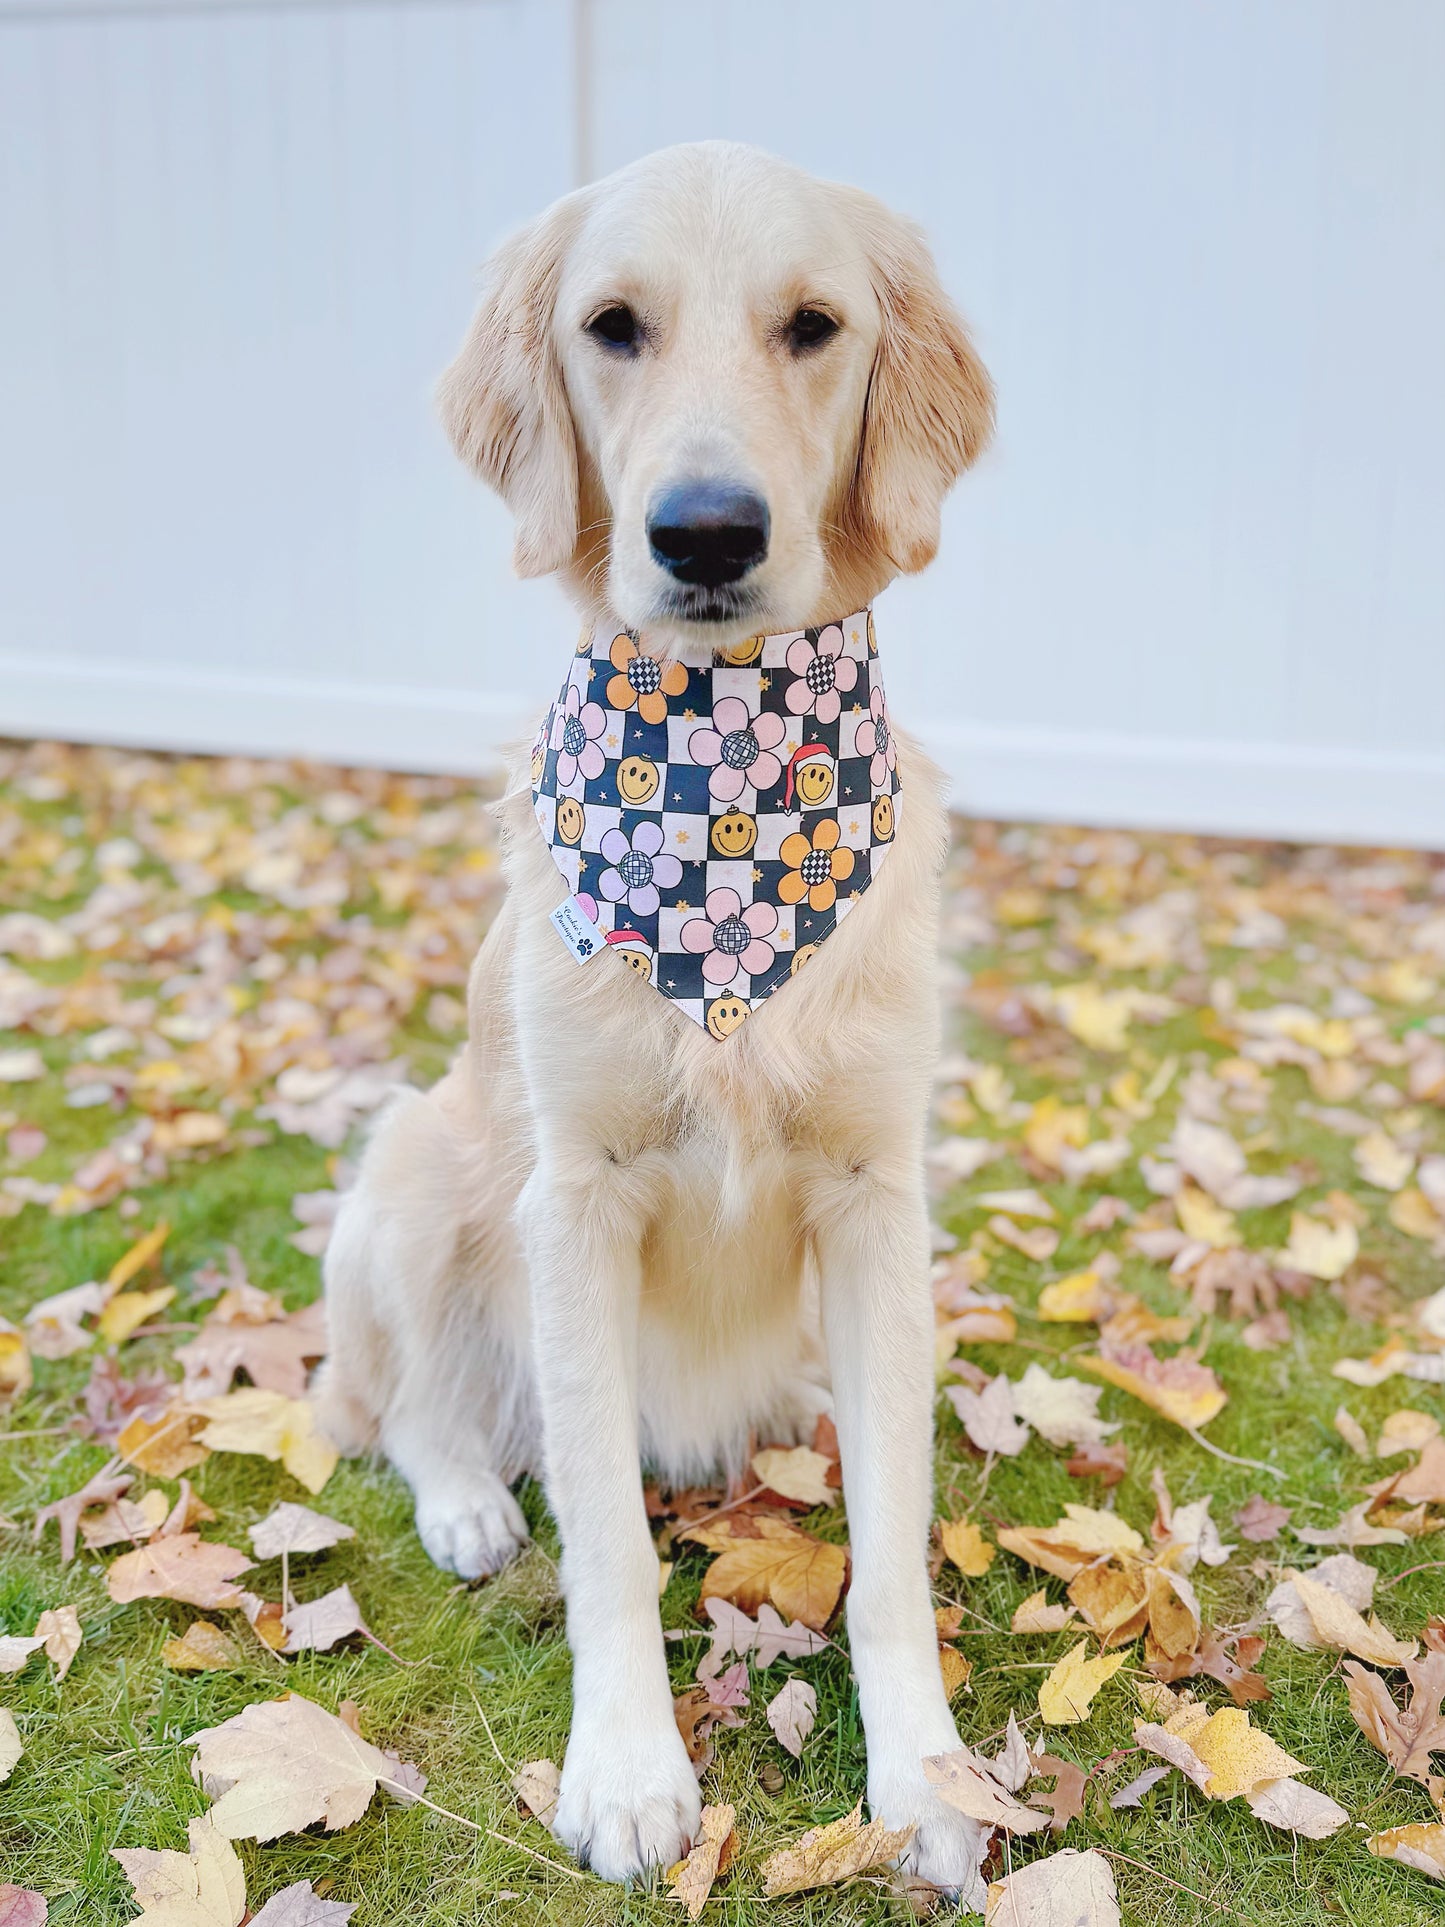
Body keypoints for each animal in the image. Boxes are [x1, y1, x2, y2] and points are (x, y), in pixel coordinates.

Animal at [314, 142, 994, 1888]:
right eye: (612, 325)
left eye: (813, 324)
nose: (703, 533)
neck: (729, 780)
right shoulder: (576, 1195)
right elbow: (607, 1538)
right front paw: (625, 1767)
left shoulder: (876, 1196)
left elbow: (891, 1549)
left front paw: (926, 1777)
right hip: (414, 1161)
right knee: (413, 1406)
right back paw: (468, 1501)